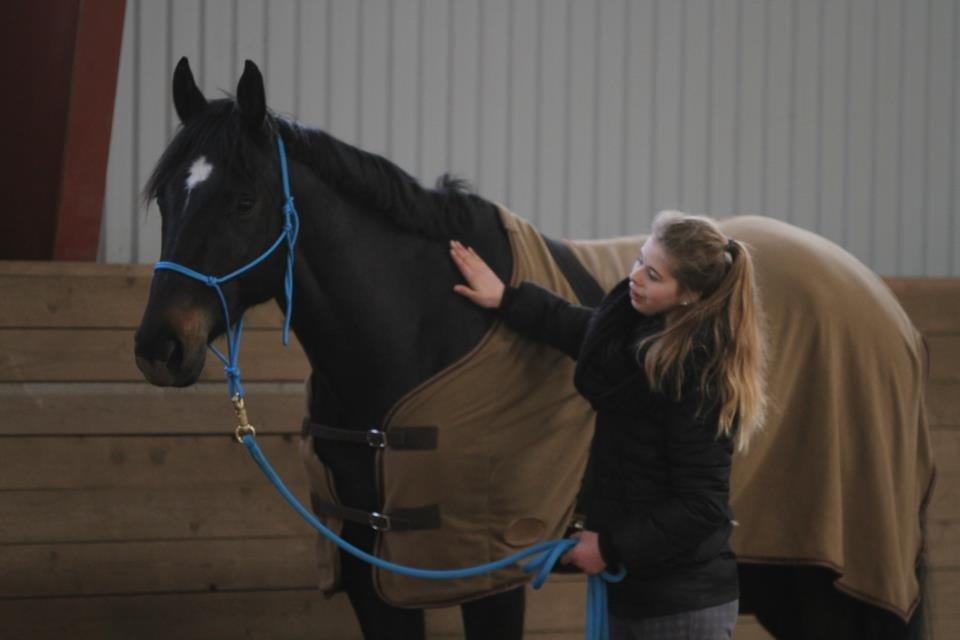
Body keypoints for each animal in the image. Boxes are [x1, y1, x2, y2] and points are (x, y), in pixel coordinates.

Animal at [131, 57, 928, 636]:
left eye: (242, 201)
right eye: (166, 195)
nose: (159, 346)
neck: (421, 331)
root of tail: (890, 313)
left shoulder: (493, 570)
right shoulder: (371, 575)